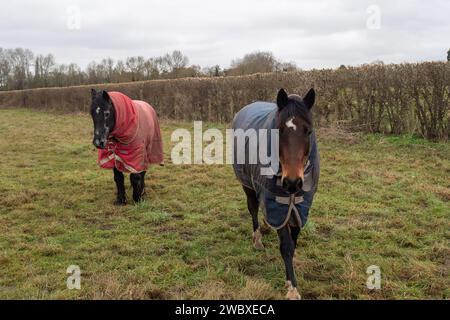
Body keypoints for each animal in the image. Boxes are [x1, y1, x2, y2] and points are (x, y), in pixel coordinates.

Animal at [232, 88, 320, 300]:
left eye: (309, 131)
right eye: (279, 130)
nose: (292, 182)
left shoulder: (299, 207)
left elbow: (293, 241)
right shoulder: (277, 204)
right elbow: (286, 246)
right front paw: (292, 288)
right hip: (248, 185)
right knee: (253, 209)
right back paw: (257, 239)